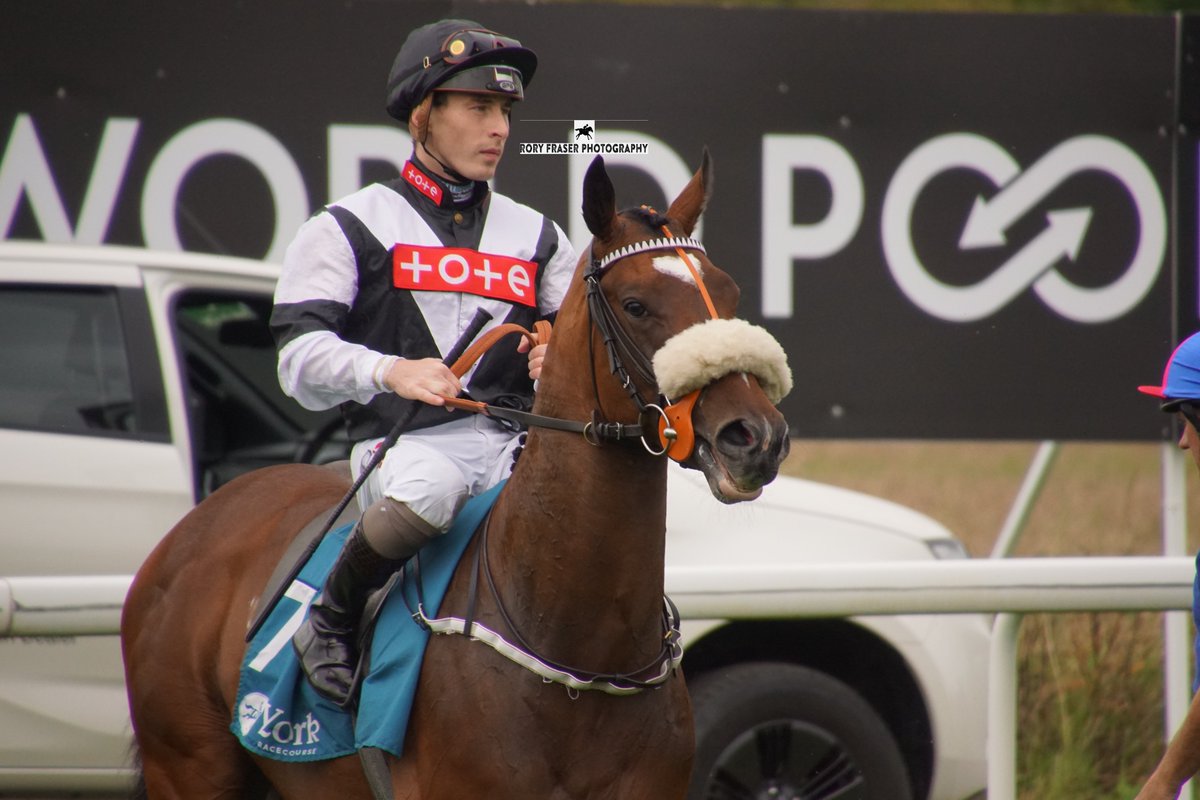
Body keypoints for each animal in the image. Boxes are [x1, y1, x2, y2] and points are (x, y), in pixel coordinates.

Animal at [121, 153, 792, 796]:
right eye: (636, 305)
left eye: (730, 294)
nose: (755, 437)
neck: (580, 653)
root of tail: (194, 528)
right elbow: (305, 341)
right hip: (188, 766)